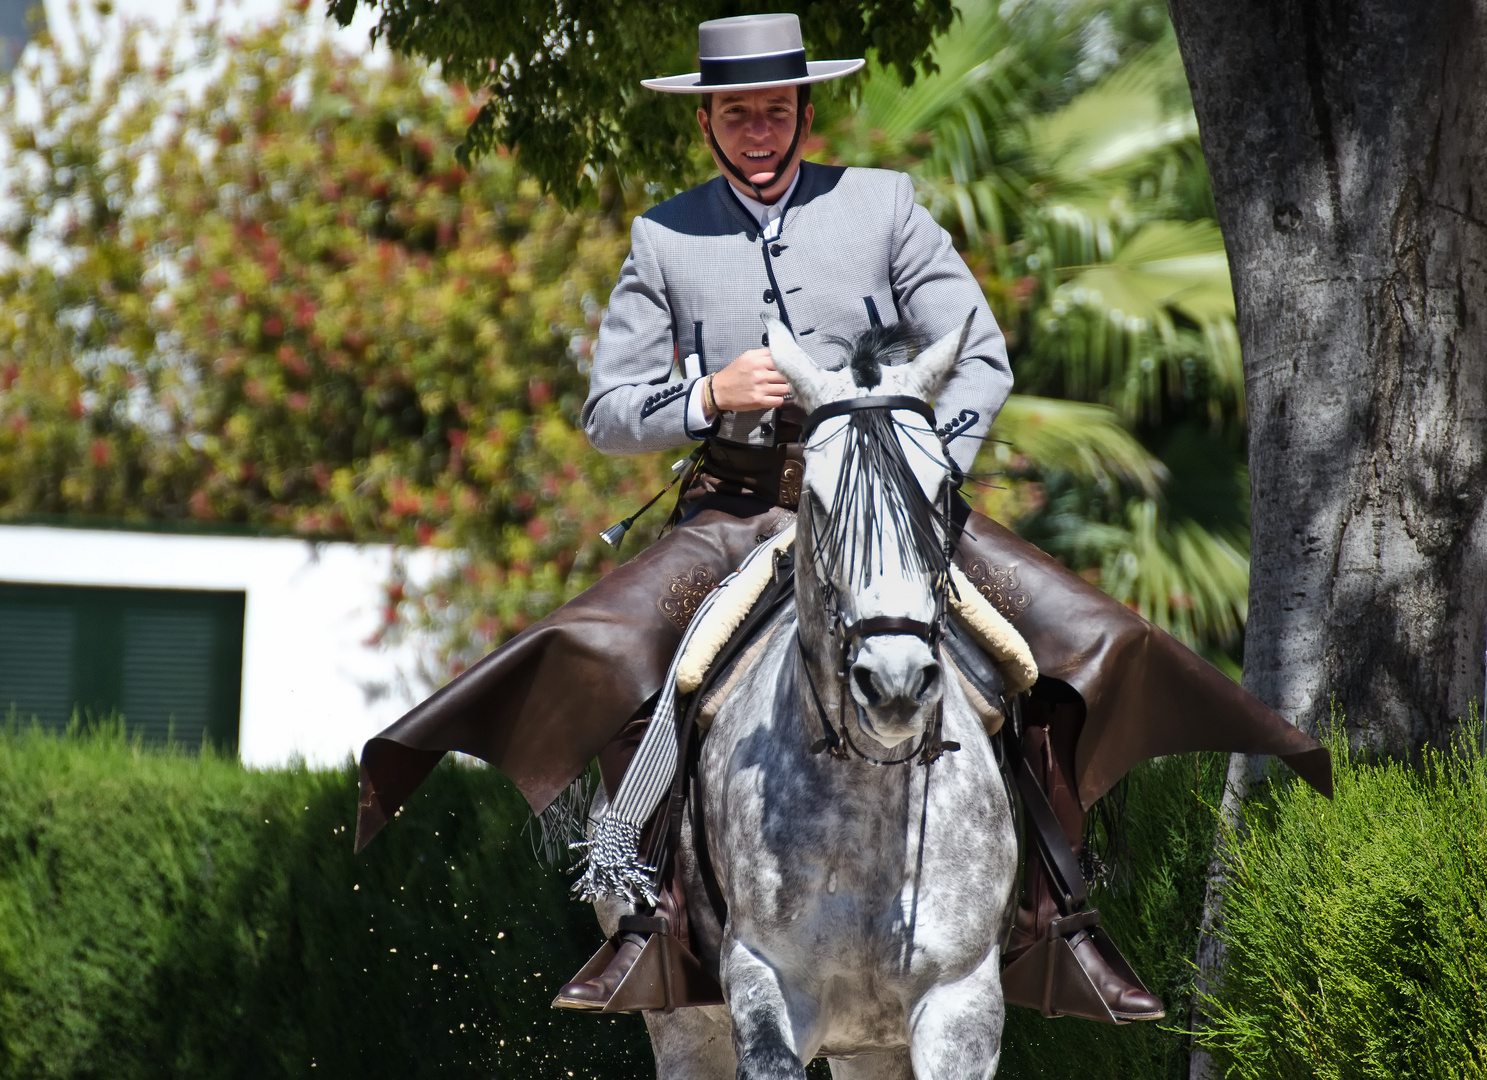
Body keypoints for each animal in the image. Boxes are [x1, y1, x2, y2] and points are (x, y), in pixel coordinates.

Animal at [597, 316, 1017, 1077]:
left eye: (939, 491)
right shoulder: (764, 975)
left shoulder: (961, 1001)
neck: (870, 802)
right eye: (818, 501)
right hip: (685, 1027)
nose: (894, 679)